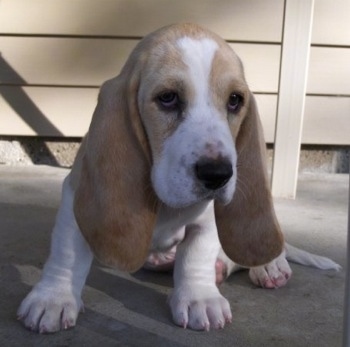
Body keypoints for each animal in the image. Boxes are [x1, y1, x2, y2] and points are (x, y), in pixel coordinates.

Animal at [17, 22, 340, 334]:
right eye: (168, 98)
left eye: (235, 100)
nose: (218, 174)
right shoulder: (76, 196)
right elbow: (67, 253)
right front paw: (53, 299)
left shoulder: (208, 220)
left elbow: (196, 254)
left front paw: (200, 299)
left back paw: (268, 267)